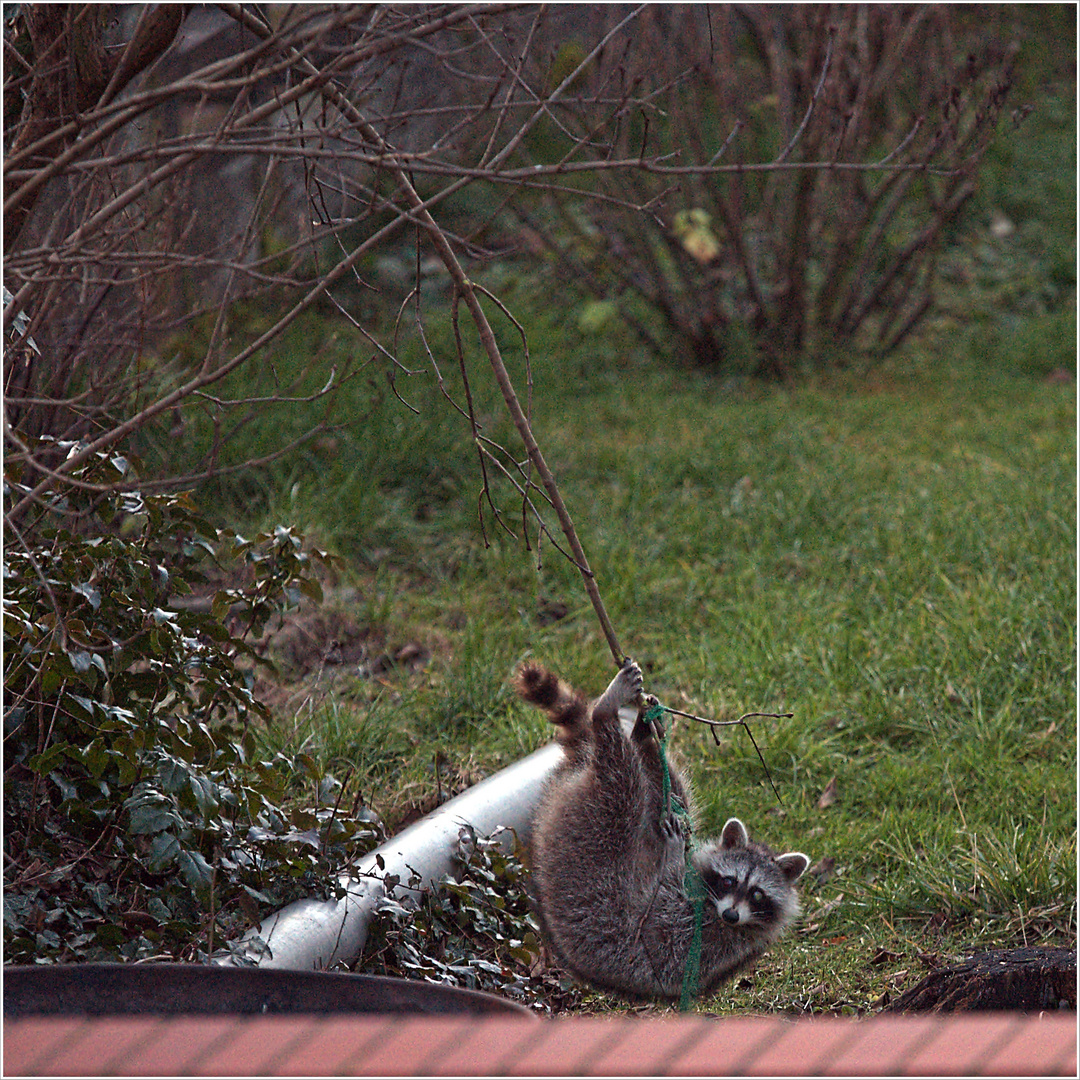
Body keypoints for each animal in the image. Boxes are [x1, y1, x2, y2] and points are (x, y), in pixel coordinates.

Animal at [514, 656, 812, 1002]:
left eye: (757, 894)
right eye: (729, 881)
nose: (731, 916)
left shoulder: (698, 934)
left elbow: (660, 910)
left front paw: (673, 854)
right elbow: (672, 803)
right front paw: (647, 735)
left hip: (589, 844)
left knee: (622, 784)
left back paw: (606, 716)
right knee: (661, 789)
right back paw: (642, 734)